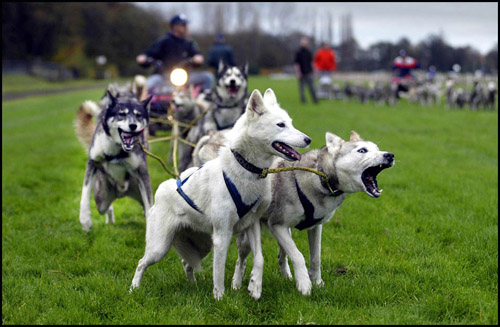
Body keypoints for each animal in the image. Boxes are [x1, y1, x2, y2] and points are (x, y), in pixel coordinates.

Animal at [74, 79, 152, 233]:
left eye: (138, 115)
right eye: (122, 114)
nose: (133, 125)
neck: (117, 149)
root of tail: (121, 193)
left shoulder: (142, 172)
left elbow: (150, 207)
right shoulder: (92, 163)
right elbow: (84, 195)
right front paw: (85, 220)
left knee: (147, 208)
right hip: (102, 200)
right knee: (107, 208)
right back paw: (109, 220)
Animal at [127, 88, 310, 302]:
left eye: (291, 122)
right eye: (281, 124)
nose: (308, 139)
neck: (247, 169)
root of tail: (162, 190)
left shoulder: (252, 226)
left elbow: (259, 258)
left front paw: (255, 287)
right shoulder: (223, 235)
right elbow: (219, 271)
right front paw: (220, 298)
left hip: (203, 246)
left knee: (186, 263)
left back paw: (193, 285)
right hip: (159, 248)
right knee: (141, 263)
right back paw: (133, 289)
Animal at [231, 131, 394, 298]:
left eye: (377, 149)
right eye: (362, 150)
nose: (390, 155)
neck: (321, 178)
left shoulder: (315, 227)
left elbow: (316, 257)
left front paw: (317, 282)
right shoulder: (277, 225)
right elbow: (298, 256)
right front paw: (304, 284)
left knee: (281, 256)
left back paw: (287, 277)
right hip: (248, 238)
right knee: (241, 260)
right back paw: (237, 285)